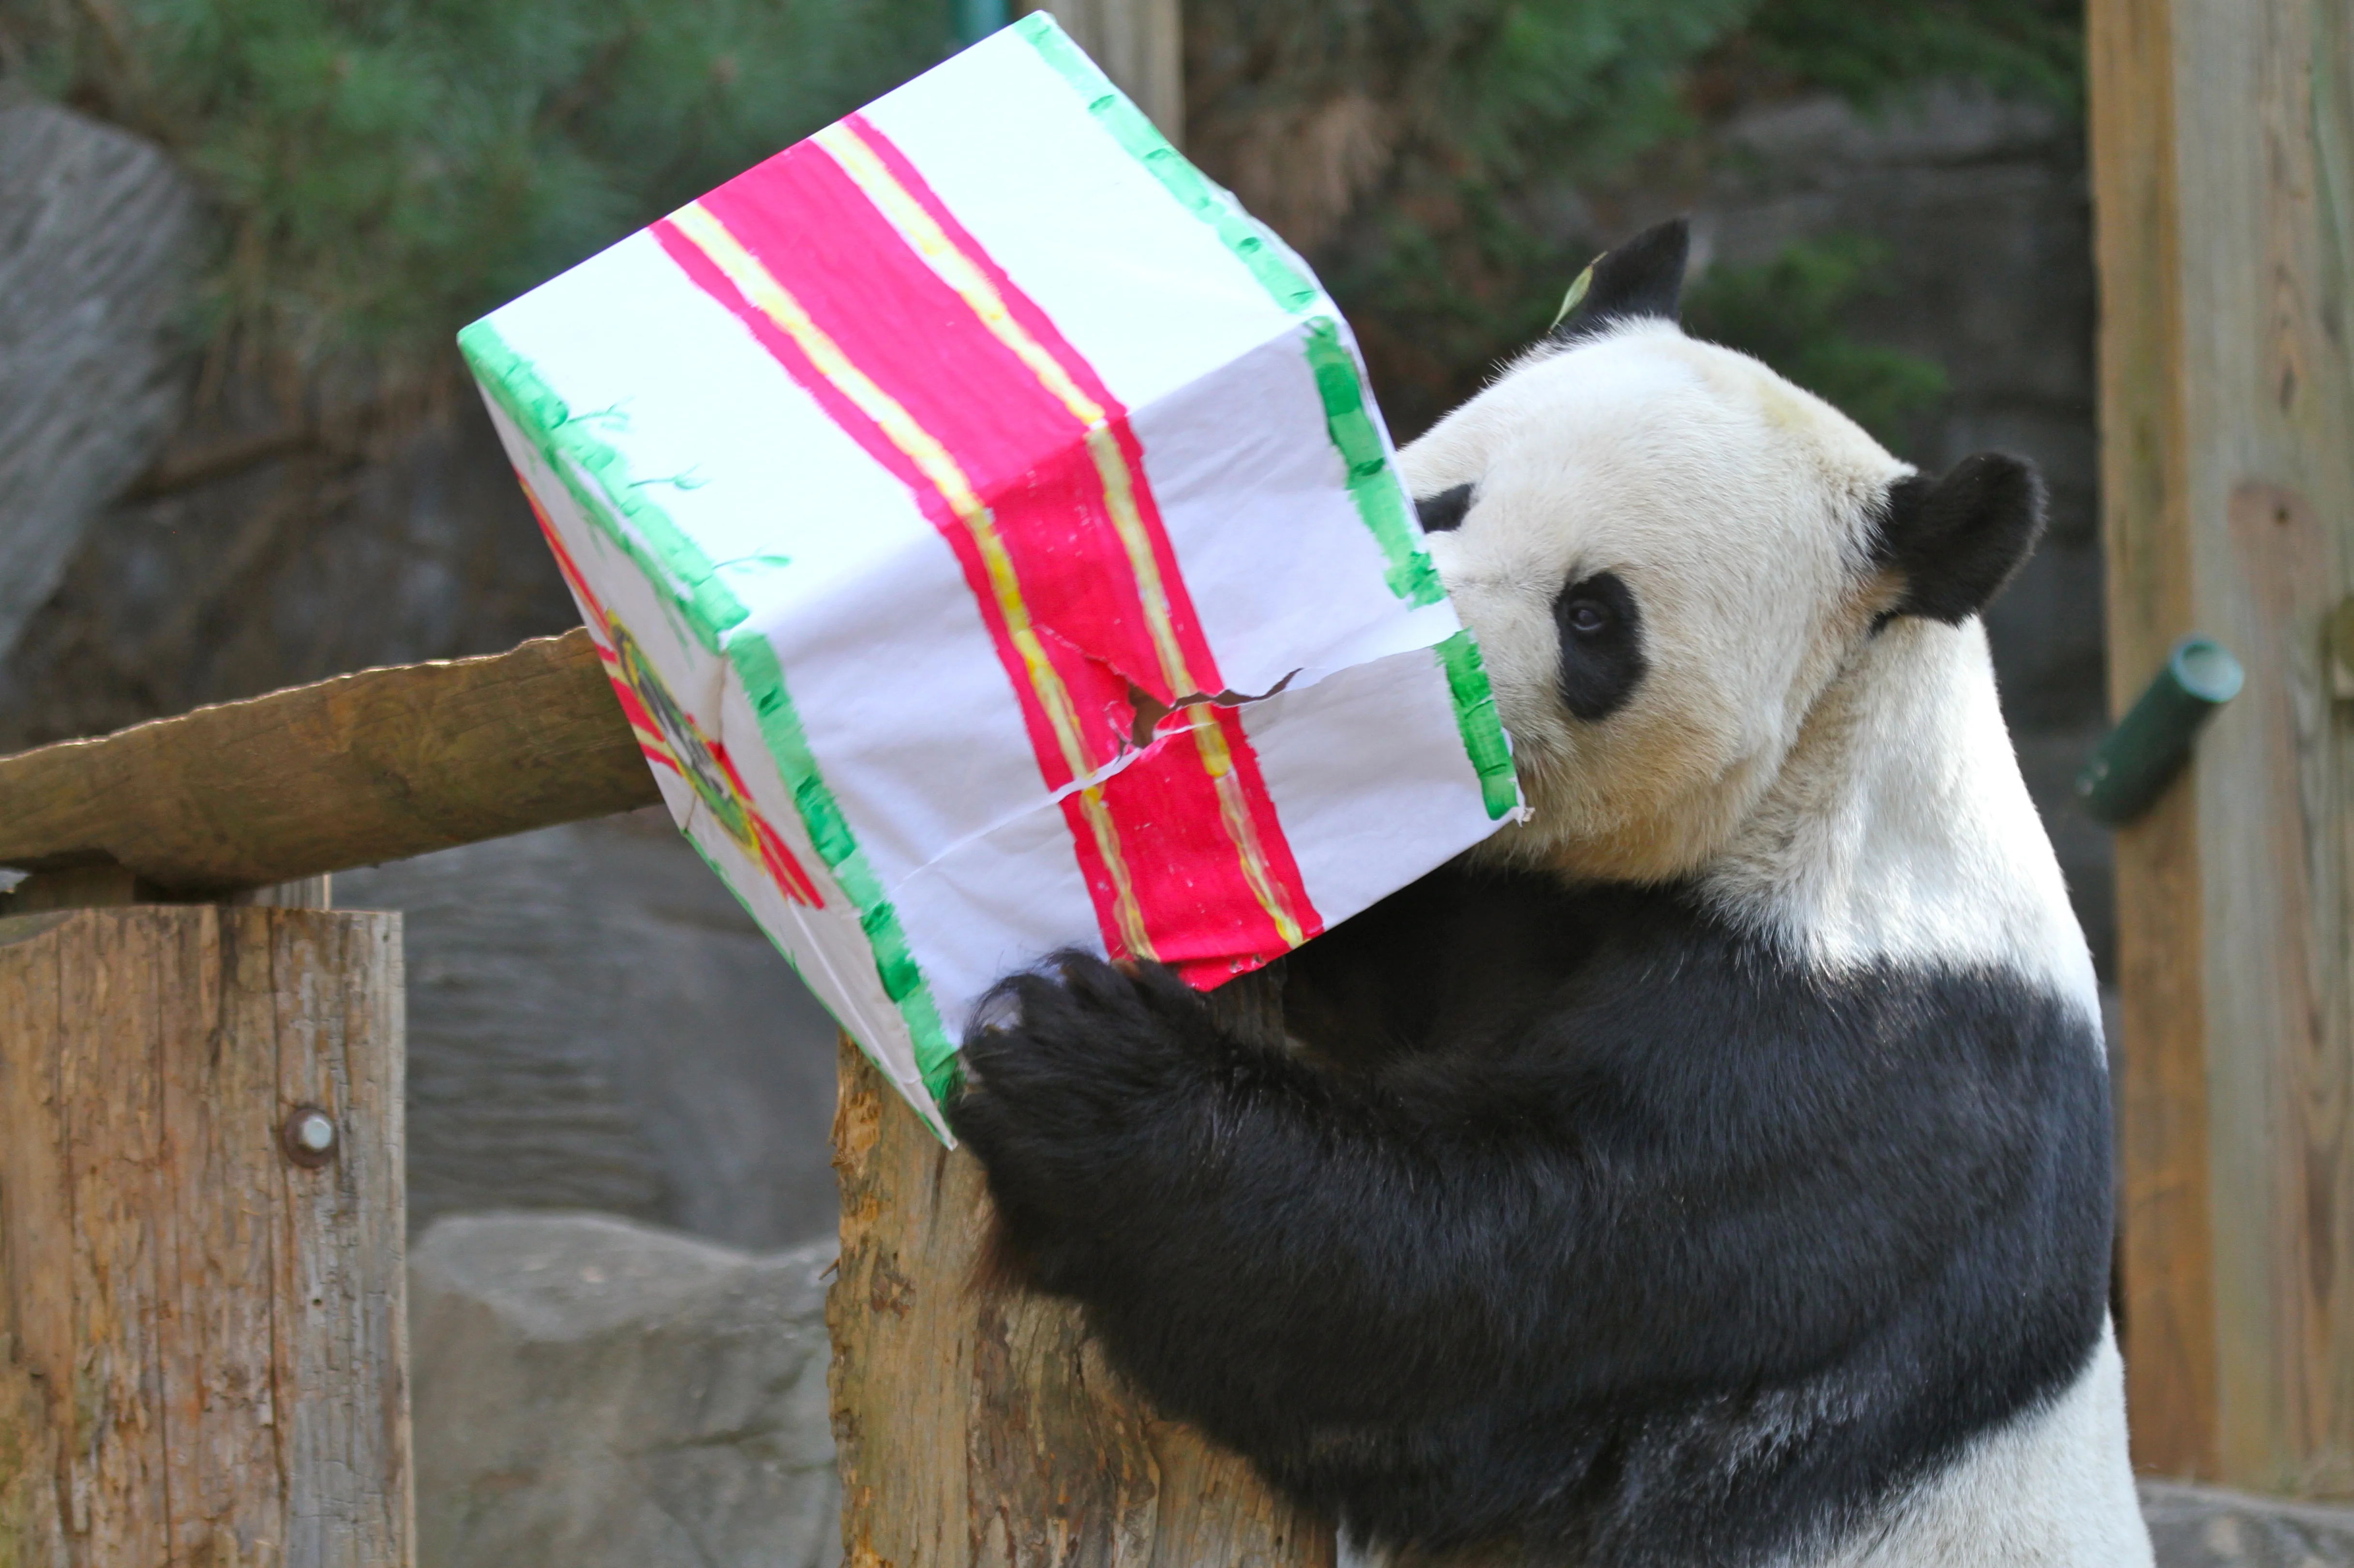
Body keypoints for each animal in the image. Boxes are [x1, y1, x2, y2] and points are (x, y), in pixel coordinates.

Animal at [946, 218, 2152, 1568]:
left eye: (1592, 616)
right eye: (1439, 502)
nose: (1406, 666)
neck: (1829, 761)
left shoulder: (1865, 1085)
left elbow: (1486, 1282)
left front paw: (1070, 1061)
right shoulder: (1508, 915)